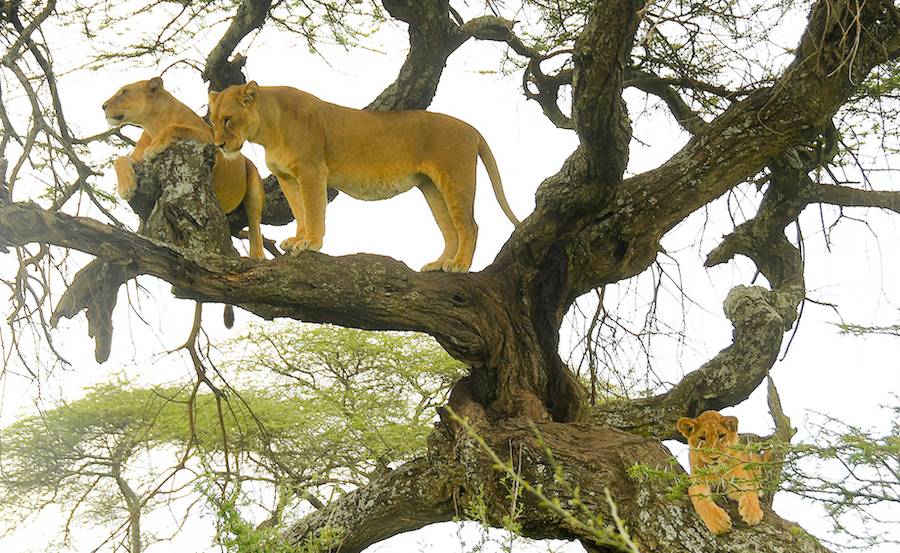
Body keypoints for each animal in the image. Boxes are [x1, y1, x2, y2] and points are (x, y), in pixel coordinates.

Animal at [105, 76, 266, 260]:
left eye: (124, 92)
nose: (103, 106)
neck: (153, 125)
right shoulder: (137, 159)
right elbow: (120, 160)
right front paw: (126, 187)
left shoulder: (211, 140)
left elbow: (174, 127)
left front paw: (155, 147)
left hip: (254, 184)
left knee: (255, 223)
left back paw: (257, 255)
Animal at [208, 81, 520, 272]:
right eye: (212, 121)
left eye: (227, 119)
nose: (218, 145)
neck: (267, 129)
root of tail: (472, 129)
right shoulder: (287, 178)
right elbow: (299, 210)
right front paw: (296, 239)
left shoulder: (311, 170)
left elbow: (313, 209)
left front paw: (311, 243)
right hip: (432, 188)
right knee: (450, 230)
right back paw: (439, 265)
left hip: (455, 178)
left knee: (469, 226)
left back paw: (459, 266)